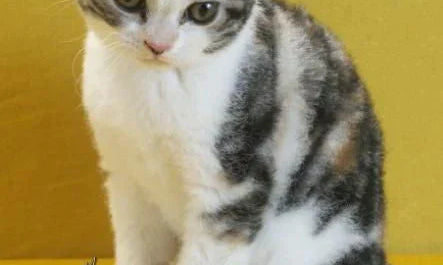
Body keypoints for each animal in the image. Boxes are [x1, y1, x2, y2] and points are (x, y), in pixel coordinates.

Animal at [78, 0, 386, 264]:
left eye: (204, 10)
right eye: (129, 1)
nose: (158, 44)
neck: (155, 81)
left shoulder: (230, 190)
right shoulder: (126, 178)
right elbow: (138, 245)